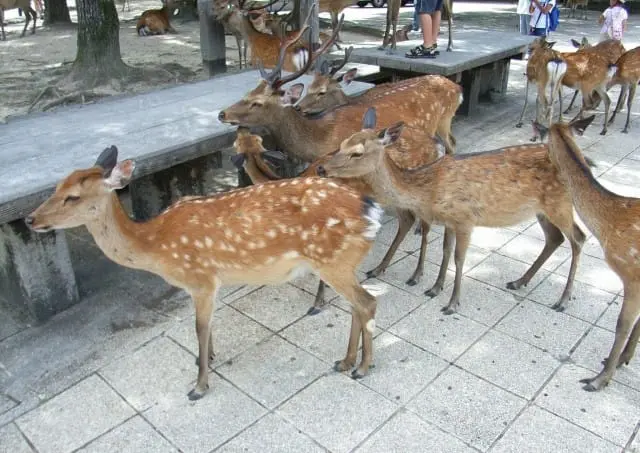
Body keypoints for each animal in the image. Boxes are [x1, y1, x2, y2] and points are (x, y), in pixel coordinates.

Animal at [25, 145, 384, 400]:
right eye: (56, 186)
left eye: (73, 197)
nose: (31, 219)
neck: (156, 245)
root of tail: (373, 211)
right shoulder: (208, 282)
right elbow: (207, 326)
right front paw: (207, 360)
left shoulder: (200, 279)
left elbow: (199, 328)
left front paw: (199, 385)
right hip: (341, 262)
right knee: (357, 305)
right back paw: (345, 361)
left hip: (332, 261)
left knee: (367, 302)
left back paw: (363, 367)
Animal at [316, 107, 593, 315]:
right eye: (341, 143)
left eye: (357, 153)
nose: (321, 168)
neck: (427, 189)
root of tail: (585, 161)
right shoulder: (449, 220)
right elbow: (445, 250)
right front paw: (435, 287)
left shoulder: (465, 219)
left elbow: (459, 258)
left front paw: (452, 302)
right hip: (540, 209)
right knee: (554, 238)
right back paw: (519, 281)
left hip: (561, 203)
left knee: (579, 237)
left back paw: (563, 300)